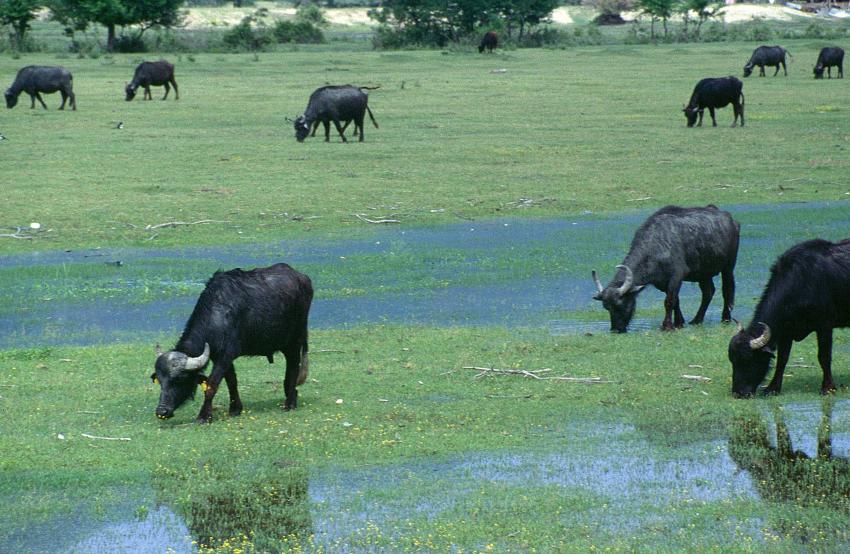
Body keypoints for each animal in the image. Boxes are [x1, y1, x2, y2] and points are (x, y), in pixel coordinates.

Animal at [151, 264, 314, 422]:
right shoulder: (220, 357)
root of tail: (303, 278)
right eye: (160, 381)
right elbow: (232, 381)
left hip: (295, 341)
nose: (161, 411)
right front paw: (235, 409)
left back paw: (289, 403)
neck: (217, 317)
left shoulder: (225, 356)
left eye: (179, 379)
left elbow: (211, 385)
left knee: (293, 367)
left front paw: (204, 416)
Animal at [588, 204, 736, 330]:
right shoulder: (661, 283)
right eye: (606, 307)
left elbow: (669, 301)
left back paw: (725, 318)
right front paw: (679, 322)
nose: (615, 329)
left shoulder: (677, 276)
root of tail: (730, 218)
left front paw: (667, 326)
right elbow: (676, 300)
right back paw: (696, 320)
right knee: (708, 292)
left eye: (621, 304)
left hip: (728, 267)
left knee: (726, 289)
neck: (654, 247)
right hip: (703, 273)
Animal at [724, 237, 848, 396]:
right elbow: (782, 359)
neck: (802, 281)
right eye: (732, 361)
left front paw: (828, 387)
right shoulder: (785, 331)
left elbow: (824, 356)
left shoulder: (824, 326)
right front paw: (772, 388)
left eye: (748, 360)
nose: (738, 393)